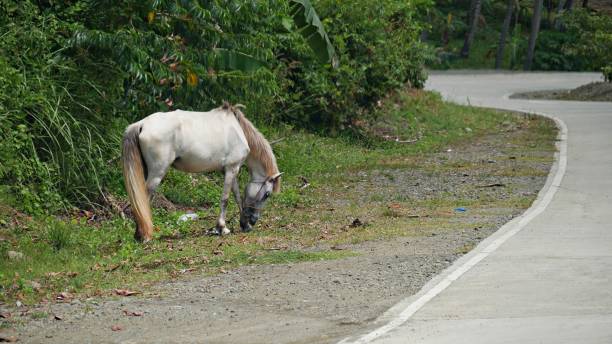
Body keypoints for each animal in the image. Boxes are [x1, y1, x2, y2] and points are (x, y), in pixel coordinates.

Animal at [121, 102, 282, 242]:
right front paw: (221, 228)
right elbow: (225, 199)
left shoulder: (231, 170)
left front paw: (244, 224)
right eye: (267, 194)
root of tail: (141, 124)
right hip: (156, 175)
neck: (238, 129)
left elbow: (237, 197)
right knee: (144, 199)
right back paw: (144, 236)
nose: (254, 220)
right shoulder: (232, 169)